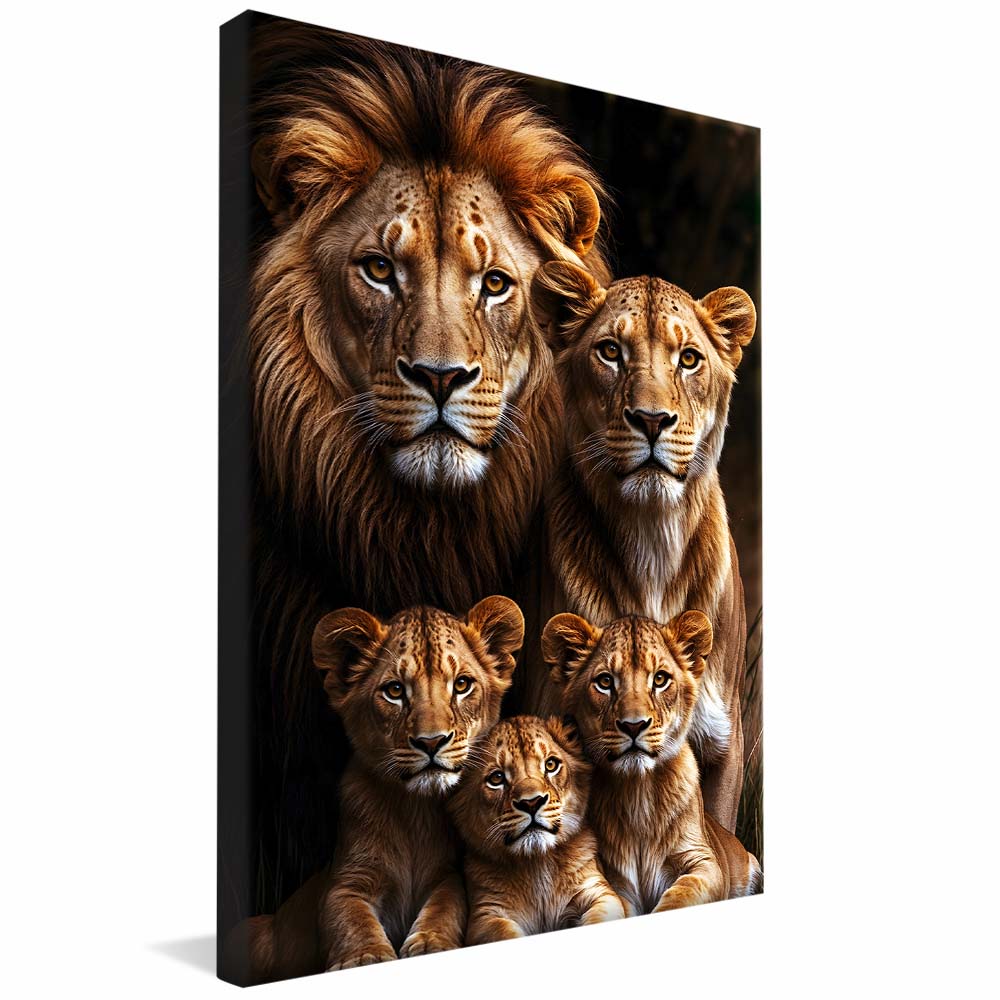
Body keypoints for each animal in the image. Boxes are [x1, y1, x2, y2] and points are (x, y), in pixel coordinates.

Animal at [224, 596, 524, 985]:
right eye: (394, 691)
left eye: (461, 685)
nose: (431, 742)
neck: (415, 811)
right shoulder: (346, 880)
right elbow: (348, 916)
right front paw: (365, 957)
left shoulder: (447, 874)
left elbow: (448, 903)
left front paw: (431, 943)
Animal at [448, 715, 624, 944]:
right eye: (496, 778)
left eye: (550, 765)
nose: (531, 803)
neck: (537, 863)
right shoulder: (485, 916)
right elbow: (504, 933)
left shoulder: (599, 893)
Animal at [544, 610, 761, 914]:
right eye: (605, 682)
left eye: (660, 679)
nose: (634, 726)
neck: (640, 793)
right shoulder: (613, 881)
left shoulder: (704, 861)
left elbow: (683, 893)